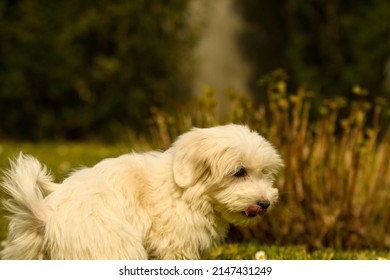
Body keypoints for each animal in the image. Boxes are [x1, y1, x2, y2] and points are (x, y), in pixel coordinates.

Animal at [2, 123, 284, 260]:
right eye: (239, 172)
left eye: (265, 173)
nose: (265, 203)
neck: (187, 190)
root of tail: (44, 216)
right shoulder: (177, 246)